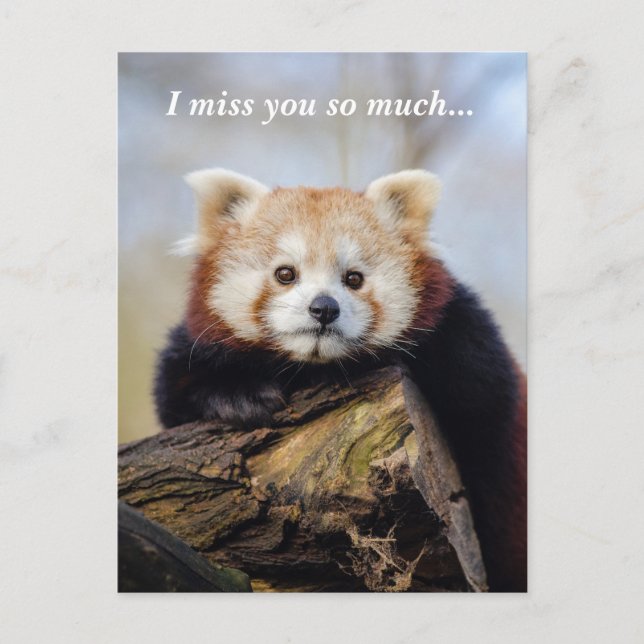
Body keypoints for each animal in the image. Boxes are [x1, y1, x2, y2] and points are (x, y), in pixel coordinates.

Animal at [154, 168, 527, 592]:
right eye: (285, 274)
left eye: (354, 278)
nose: (323, 308)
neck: (312, 365)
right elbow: (175, 391)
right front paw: (239, 397)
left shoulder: (471, 349)